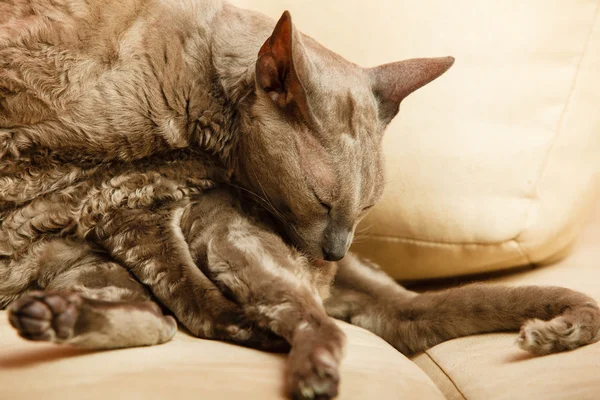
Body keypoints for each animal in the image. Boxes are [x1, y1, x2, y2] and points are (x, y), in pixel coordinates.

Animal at [1, 0, 600, 400]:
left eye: (366, 207)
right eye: (322, 199)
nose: (333, 250)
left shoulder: (133, 207)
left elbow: (192, 302)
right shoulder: (124, 208)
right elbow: (184, 301)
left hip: (211, 240)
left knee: (244, 318)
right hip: (93, 256)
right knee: (166, 315)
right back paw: (52, 317)